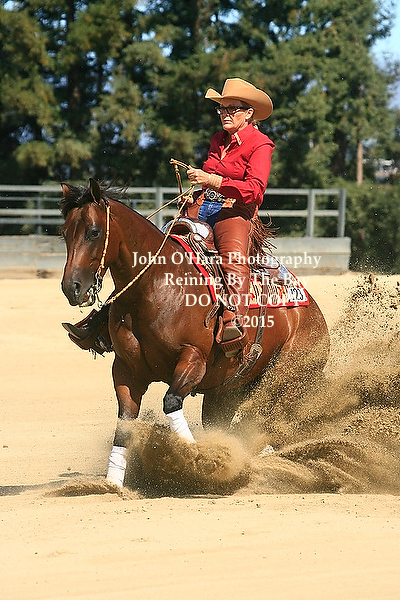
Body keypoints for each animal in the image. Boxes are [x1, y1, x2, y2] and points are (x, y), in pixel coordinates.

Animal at [60, 178, 329, 487]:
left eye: (93, 232)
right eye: (64, 233)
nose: (71, 288)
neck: (155, 286)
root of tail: (314, 313)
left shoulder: (194, 360)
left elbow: (171, 401)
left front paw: (196, 459)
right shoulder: (126, 370)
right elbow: (125, 423)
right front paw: (112, 484)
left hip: (285, 380)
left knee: (269, 421)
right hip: (226, 391)